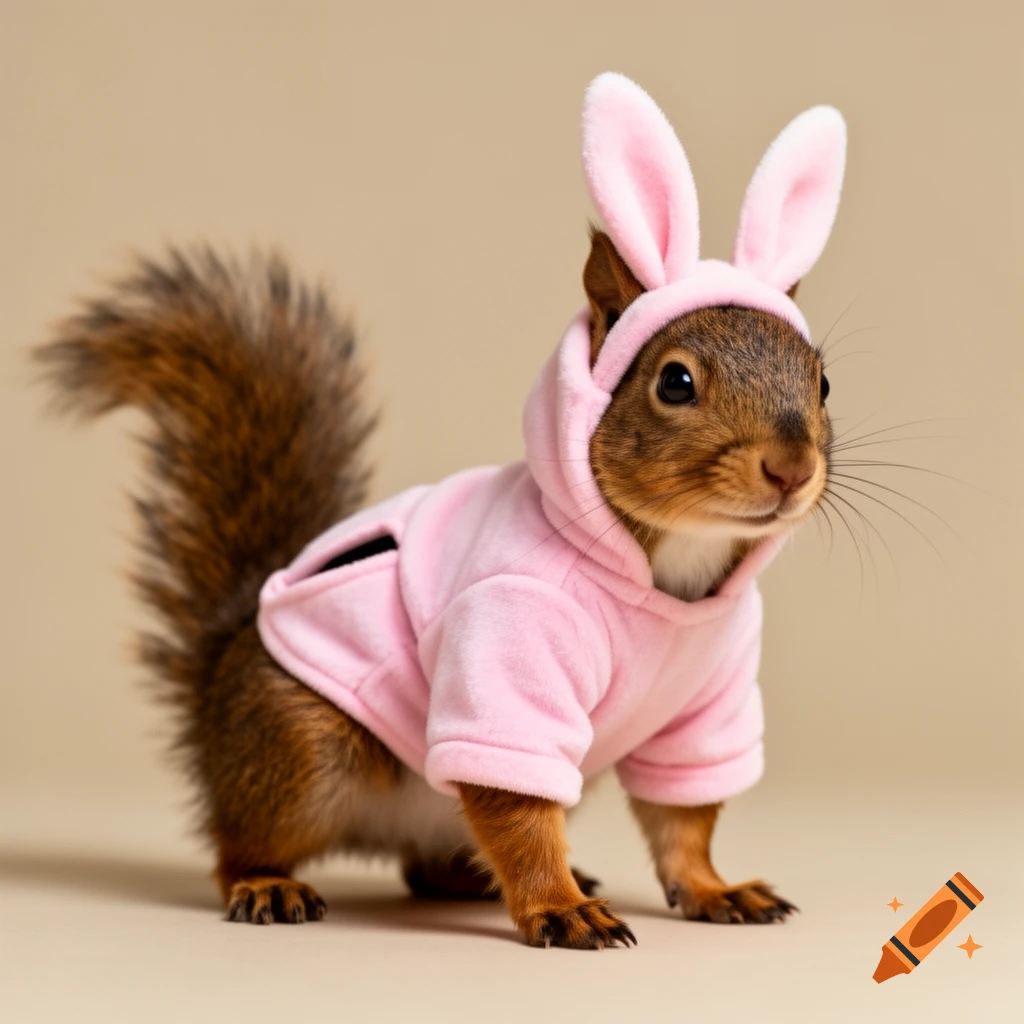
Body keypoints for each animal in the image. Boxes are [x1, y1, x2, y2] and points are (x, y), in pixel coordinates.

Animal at [36, 73, 845, 947]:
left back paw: (480, 879)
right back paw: (267, 883)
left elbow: (684, 818)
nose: (792, 467)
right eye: (675, 382)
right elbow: (519, 808)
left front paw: (715, 888)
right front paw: (560, 907)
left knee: (433, 863)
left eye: (824, 382)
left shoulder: (705, 704)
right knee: (242, 837)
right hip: (302, 748)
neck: (670, 569)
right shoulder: (506, 648)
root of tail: (214, 692)